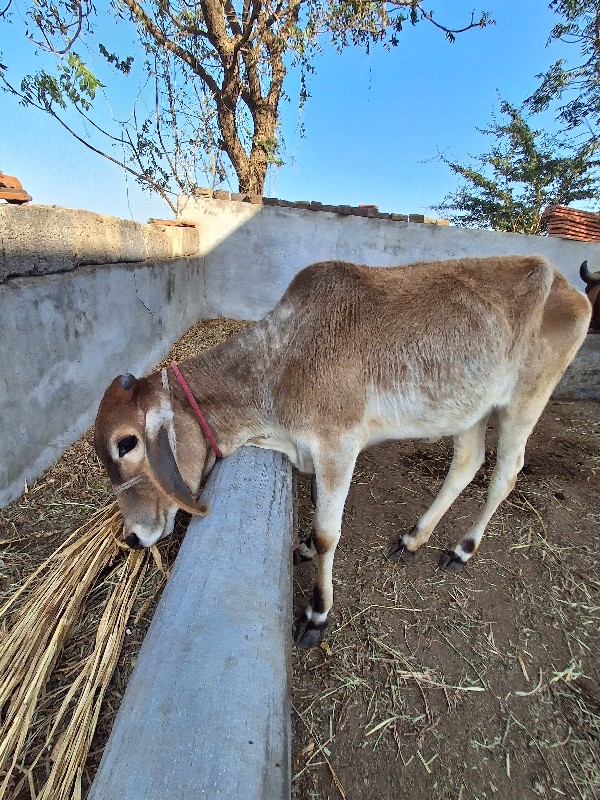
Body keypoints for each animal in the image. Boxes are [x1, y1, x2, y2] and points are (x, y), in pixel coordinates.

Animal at [94, 260, 592, 648]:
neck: (277, 365)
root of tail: (568, 287)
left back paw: (463, 548)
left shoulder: (338, 446)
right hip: (470, 409)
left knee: (506, 473)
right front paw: (303, 548)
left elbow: (328, 534)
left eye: (126, 443)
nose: (132, 537)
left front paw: (317, 613)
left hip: (523, 403)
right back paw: (414, 538)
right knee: (466, 463)